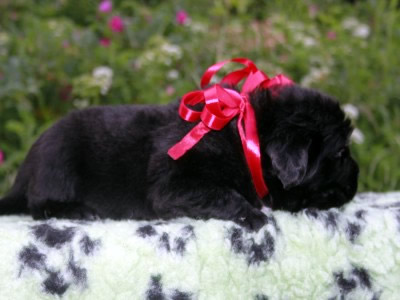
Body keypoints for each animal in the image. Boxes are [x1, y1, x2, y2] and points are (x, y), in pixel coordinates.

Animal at [0, 85, 358, 231]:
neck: (246, 137)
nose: (357, 178)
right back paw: (78, 211)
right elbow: (223, 194)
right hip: (58, 161)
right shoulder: (175, 184)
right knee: (38, 205)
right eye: (341, 153)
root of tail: (26, 168)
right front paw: (253, 216)